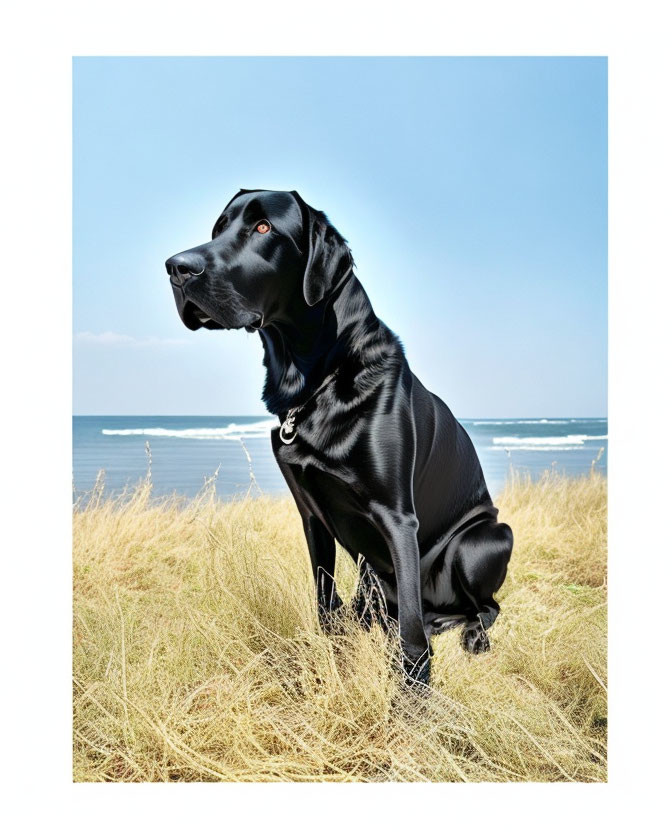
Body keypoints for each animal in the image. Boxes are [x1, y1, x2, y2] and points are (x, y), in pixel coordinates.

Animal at [168, 192, 516, 684]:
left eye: (263, 228)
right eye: (218, 228)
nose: (176, 267)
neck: (315, 385)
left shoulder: (397, 518)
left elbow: (411, 632)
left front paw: (413, 694)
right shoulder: (311, 514)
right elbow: (324, 603)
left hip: (485, 538)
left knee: (482, 607)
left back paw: (467, 634)